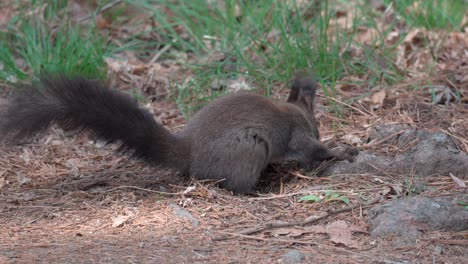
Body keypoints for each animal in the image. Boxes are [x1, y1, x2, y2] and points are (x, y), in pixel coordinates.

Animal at [0, 75, 358, 193]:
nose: (320, 128)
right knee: (234, 186)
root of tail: (188, 153)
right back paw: (259, 190)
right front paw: (342, 151)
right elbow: (313, 150)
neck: (295, 113)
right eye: (318, 125)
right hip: (248, 148)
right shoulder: (297, 136)